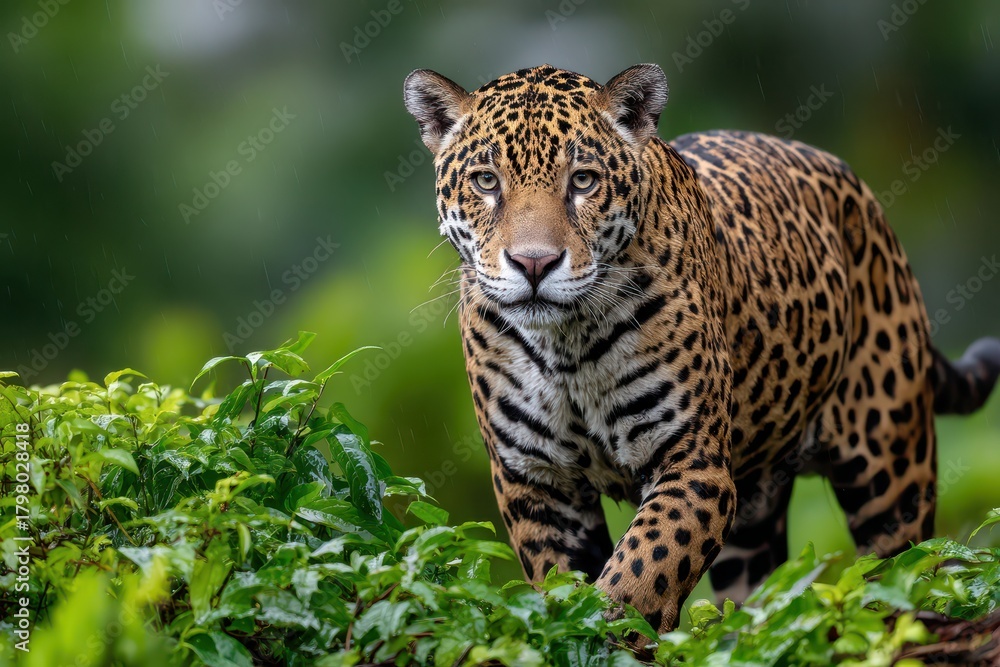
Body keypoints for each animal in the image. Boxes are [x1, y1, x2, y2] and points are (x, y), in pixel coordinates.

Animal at [402, 63, 1000, 633]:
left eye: (583, 181)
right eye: (486, 181)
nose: (533, 264)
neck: (567, 344)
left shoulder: (693, 465)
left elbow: (634, 579)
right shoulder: (538, 484)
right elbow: (565, 587)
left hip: (891, 469)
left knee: (906, 568)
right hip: (756, 517)